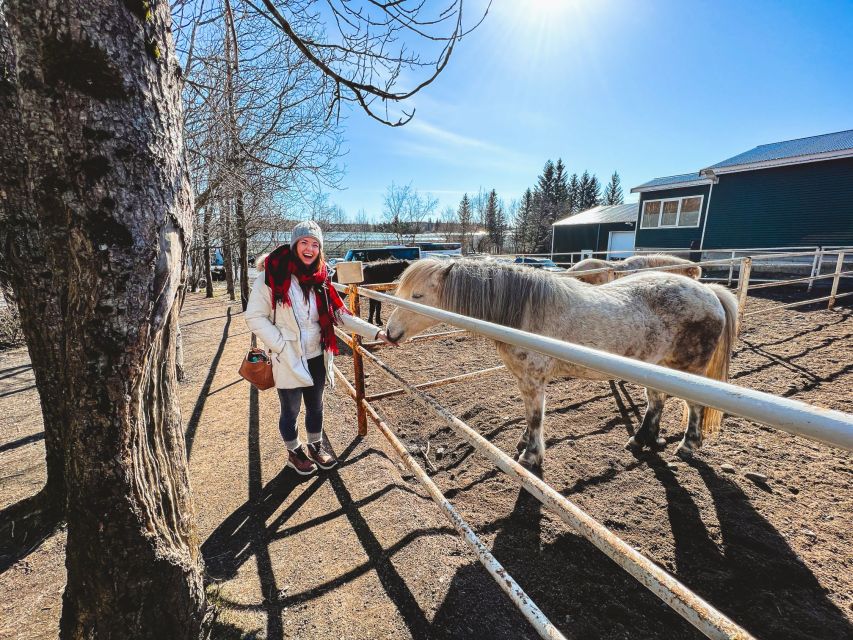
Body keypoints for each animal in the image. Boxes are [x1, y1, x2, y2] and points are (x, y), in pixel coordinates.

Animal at [388, 258, 740, 468]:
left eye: (418, 296)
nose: (389, 333)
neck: (523, 313)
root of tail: (709, 292)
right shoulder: (525, 381)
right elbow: (529, 416)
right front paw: (524, 444)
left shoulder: (533, 380)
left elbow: (535, 417)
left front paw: (530, 455)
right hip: (657, 366)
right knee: (656, 401)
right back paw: (641, 440)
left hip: (688, 371)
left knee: (694, 406)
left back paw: (688, 446)